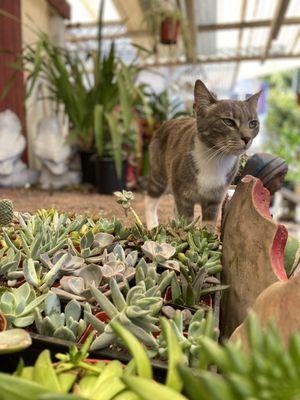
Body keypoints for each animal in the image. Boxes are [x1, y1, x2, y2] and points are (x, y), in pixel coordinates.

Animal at [145, 79, 260, 231]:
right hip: (159, 174)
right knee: (150, 200)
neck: (216, 158)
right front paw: (185, 233)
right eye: (228, 121)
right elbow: (186, 222)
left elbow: (209, 226)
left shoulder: (215, 200)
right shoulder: (183, 196)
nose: (247, 138)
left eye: (253, 123)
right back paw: (152, 226)